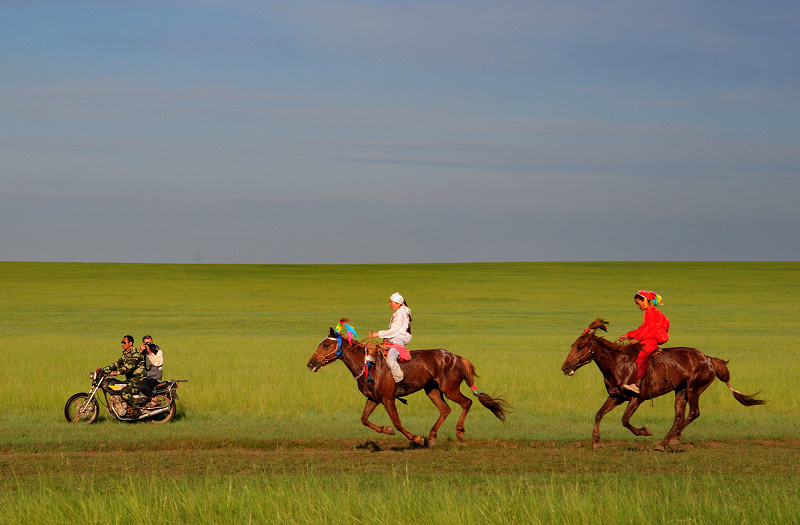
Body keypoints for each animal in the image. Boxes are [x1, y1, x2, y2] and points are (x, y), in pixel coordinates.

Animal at [306, 328, 506, 446]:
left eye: (326, 344)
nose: (310, 363)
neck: (368, 365)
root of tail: (456, 357)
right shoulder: (373, 399)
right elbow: (364, 419)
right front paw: (386, 430)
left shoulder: (388, 399)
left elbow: (397, 422)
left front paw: (416, 438)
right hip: (432, 390)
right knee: (445, 409)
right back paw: (432, 437)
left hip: (449, 389)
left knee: (467, 403)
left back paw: (459, 433)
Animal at [560, 318, 764, 448]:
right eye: (572, 345)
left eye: (580, 346)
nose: (565, 367)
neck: (618, 364)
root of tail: (709, 359)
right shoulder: (616, 397)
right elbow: (598, 414)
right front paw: (596, 441)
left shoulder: (636, 398)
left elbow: (625, 420)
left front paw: (645, 431)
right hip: (680, 391)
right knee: (679, 416)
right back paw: (663, 443)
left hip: (694, 388)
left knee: (694, 413)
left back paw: (673, 439)